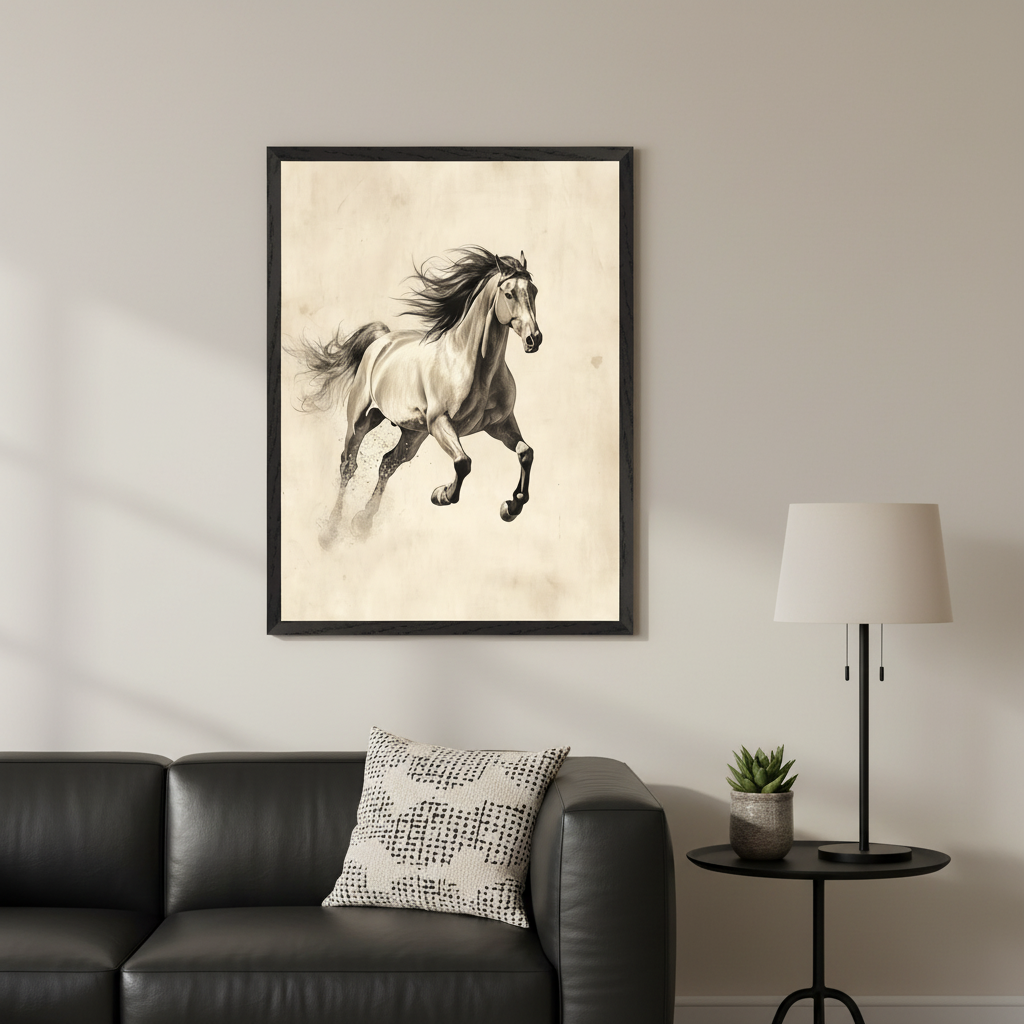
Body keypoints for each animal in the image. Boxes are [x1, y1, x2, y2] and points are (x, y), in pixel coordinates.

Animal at [289, 246, 543, 548]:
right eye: (509, 294)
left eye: (534, 291)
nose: (534, 339)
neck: (473, 366)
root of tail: (382, 341)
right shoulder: (441, 423)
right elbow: (463, 463)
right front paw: (441, 494)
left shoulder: (500, 425)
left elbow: (526, 453)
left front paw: (511, 507)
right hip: (362, 420)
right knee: (349, 465)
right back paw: (330, 531)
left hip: (414, 434)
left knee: (388, 463)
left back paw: (362, 523)